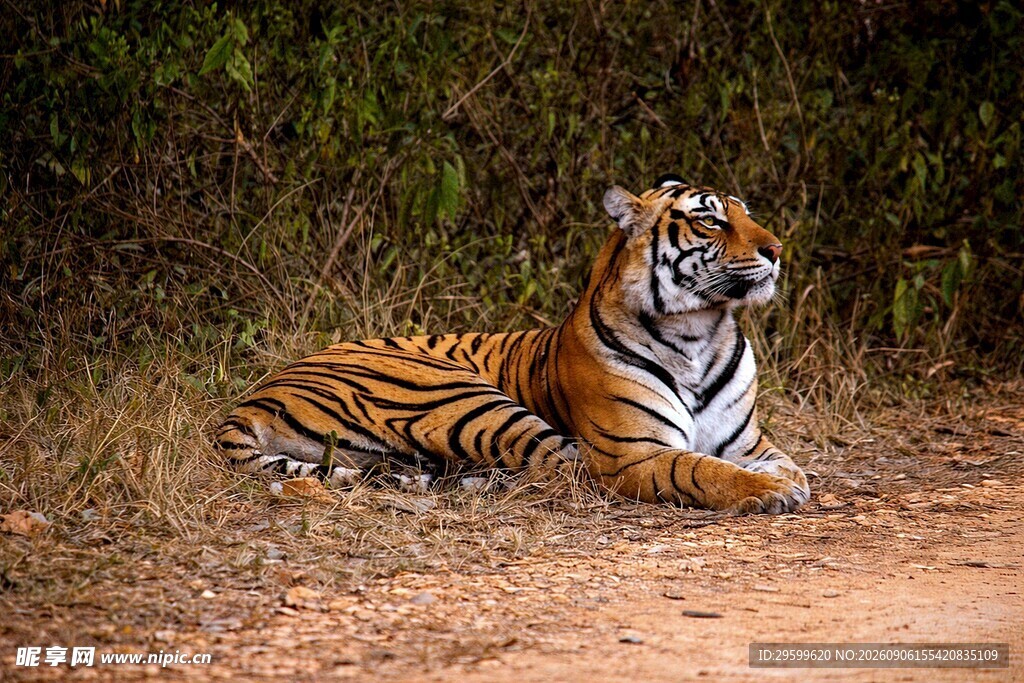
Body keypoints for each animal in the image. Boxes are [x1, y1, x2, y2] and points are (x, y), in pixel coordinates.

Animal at [215, 174, 810, 514]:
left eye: (748, 214)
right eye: (711, 220)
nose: (778, 249)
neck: (699, 333)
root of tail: (256, 395)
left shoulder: (749, 444)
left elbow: (785, 464)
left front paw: (787, 482)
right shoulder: (632, 452)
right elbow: (699, 467)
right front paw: (766, 494)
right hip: (463, 396)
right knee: (561, 468)